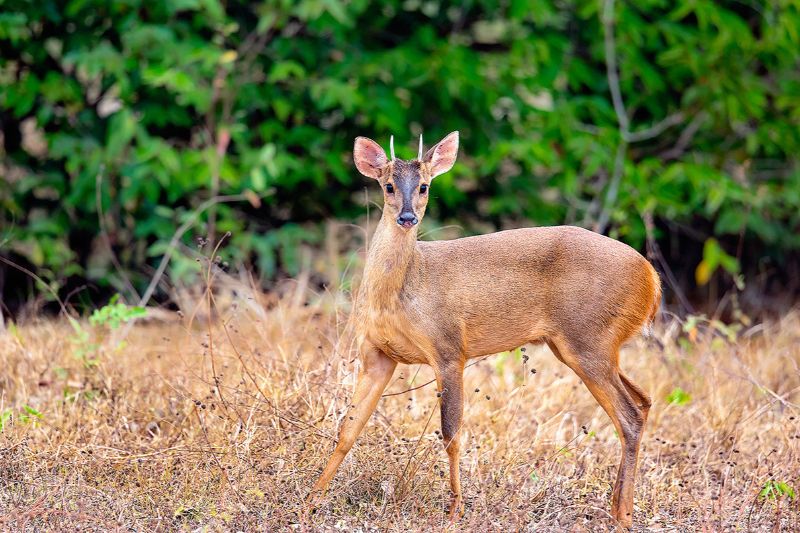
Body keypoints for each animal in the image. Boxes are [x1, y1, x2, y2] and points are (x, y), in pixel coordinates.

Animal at [310, 131, 660, 524]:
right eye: (388, 185)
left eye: (424, 186)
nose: (407, 217)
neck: (403, 290)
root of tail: (651, 278)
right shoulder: (377, 354)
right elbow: (348, 427)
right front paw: (312, 500)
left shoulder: (448, 348)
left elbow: (451, 433)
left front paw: (454, 510)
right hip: (585, 345)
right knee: (643, 401)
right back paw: (618, 505)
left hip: (589, 339)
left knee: (629, 416)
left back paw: (623, 513)